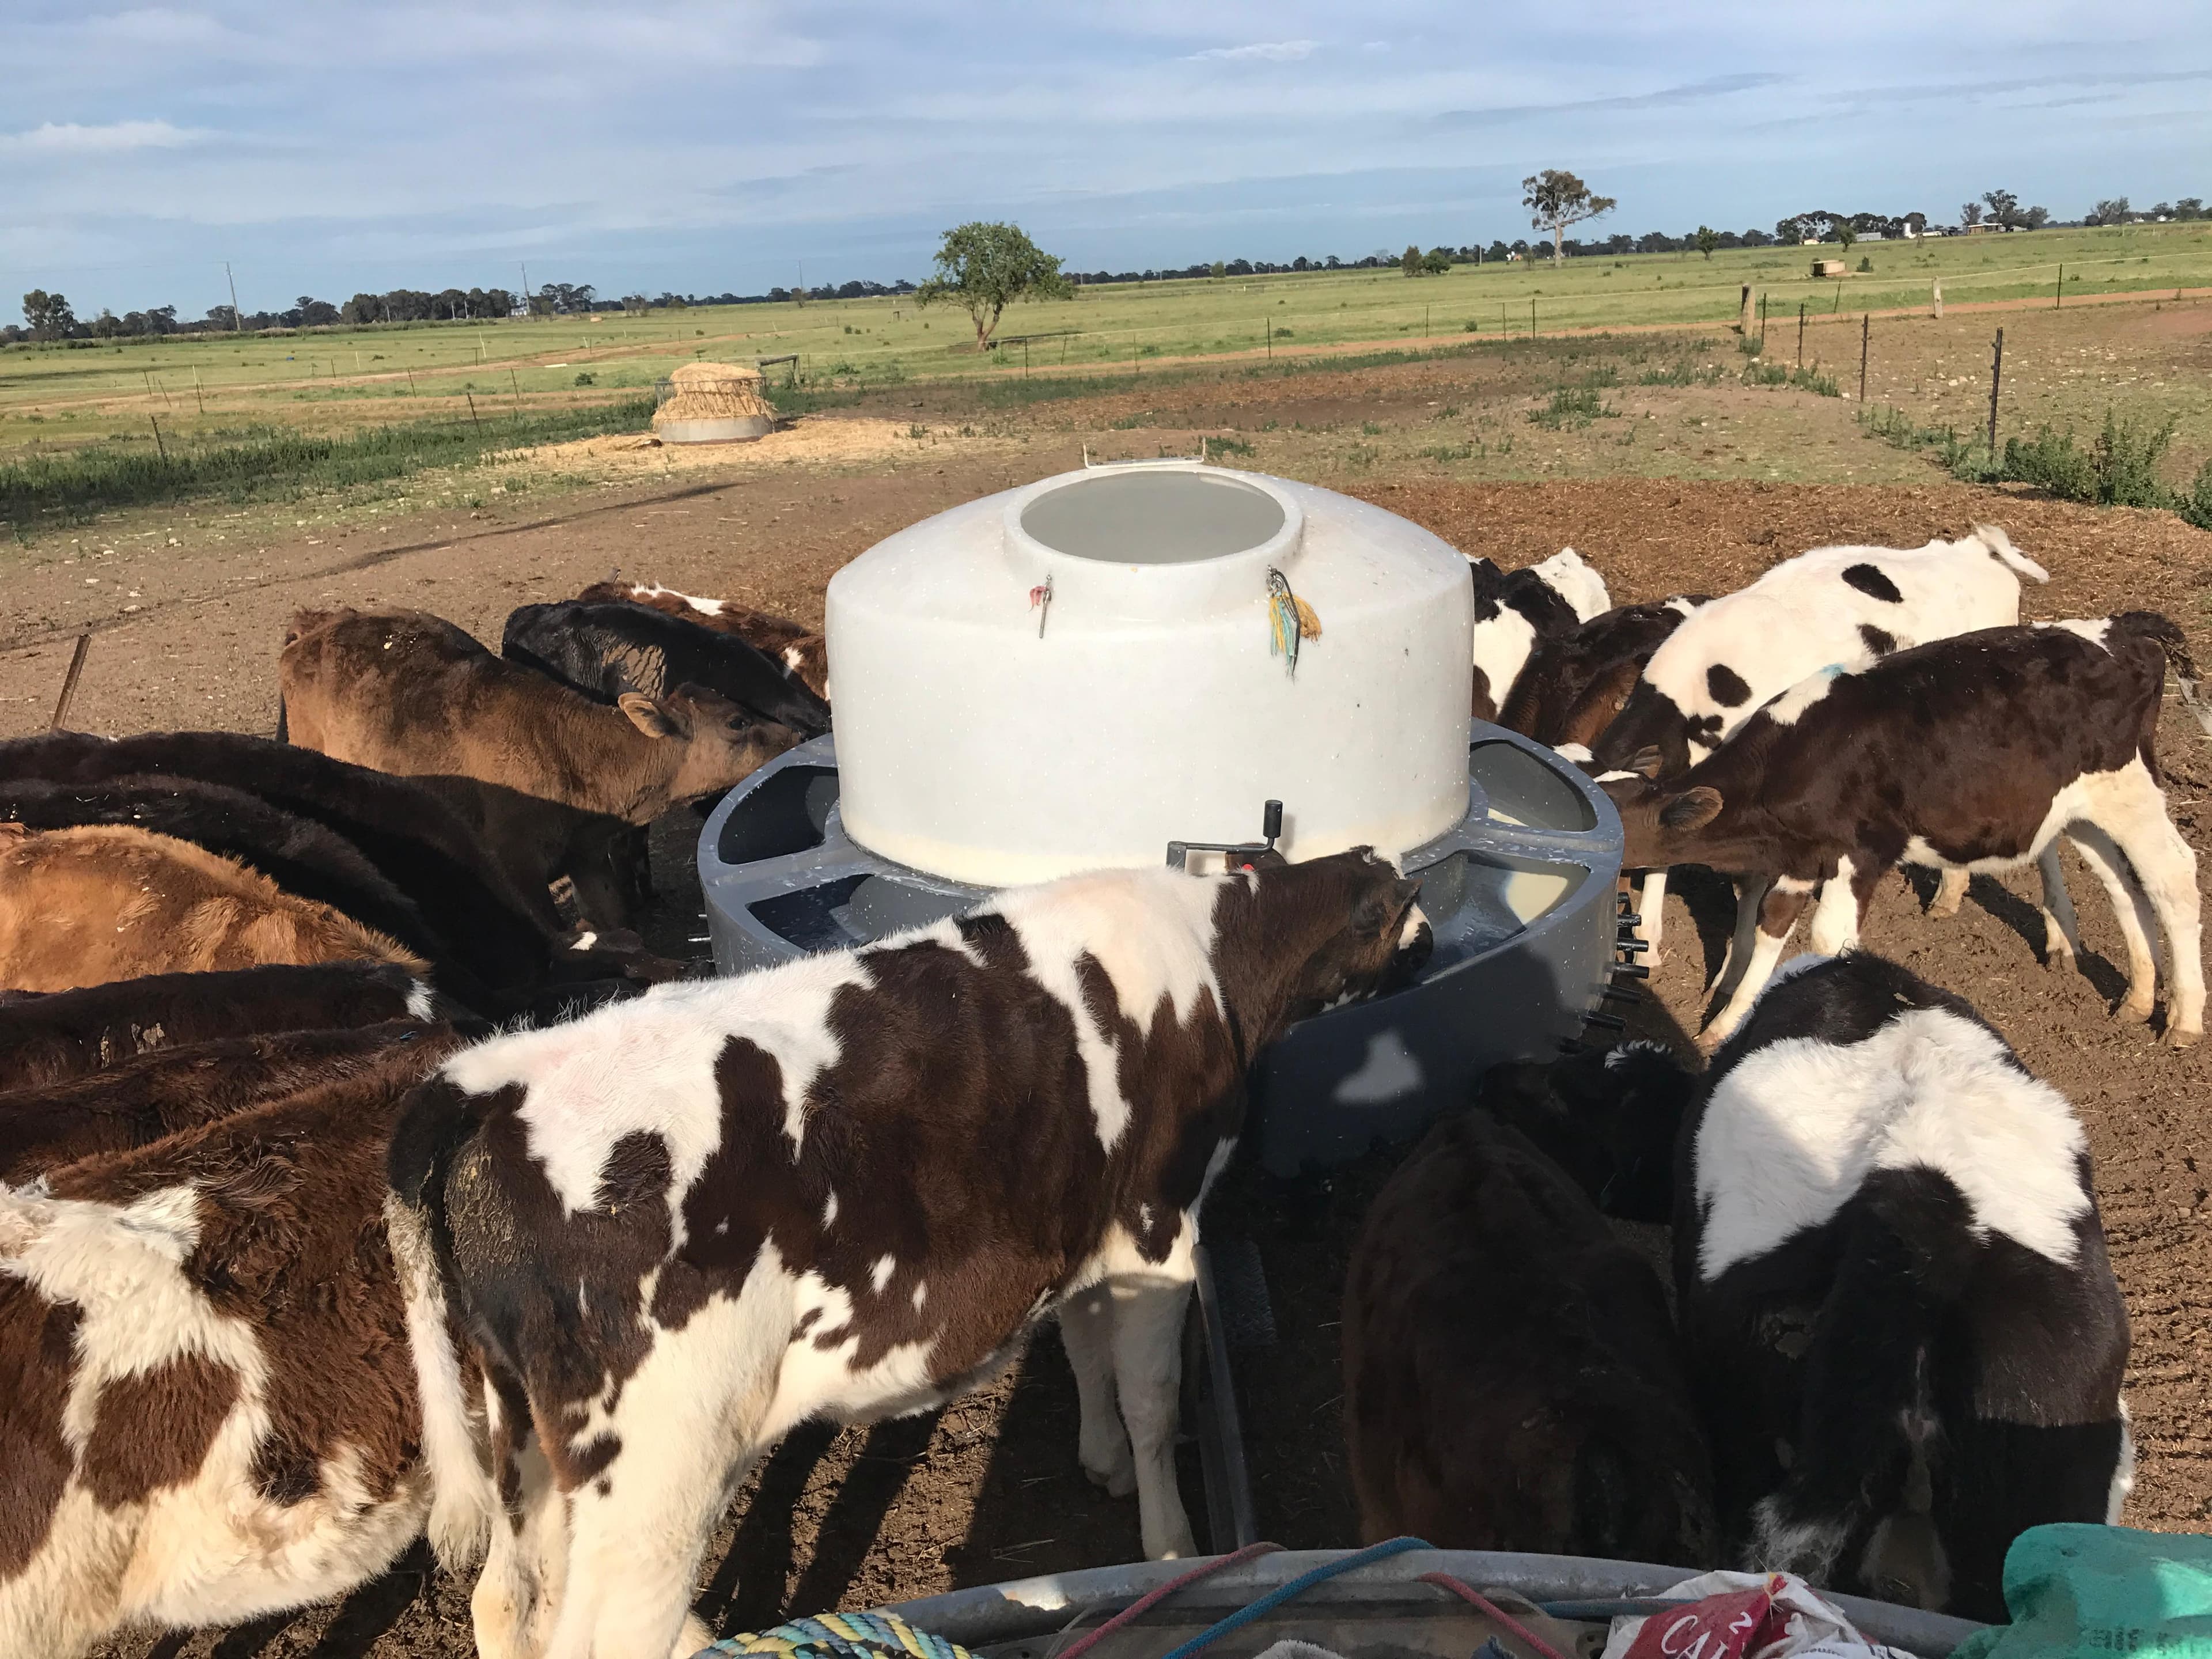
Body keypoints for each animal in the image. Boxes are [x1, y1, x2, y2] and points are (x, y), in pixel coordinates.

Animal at [278, 607, 803, 913]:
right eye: (737, 721)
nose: (793, 735)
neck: (566, 748)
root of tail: (315, 627)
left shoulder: (588, 856)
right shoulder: (520, 872)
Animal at [388, 852, 1430, 1658]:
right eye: (1408, 916)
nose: (1428, 956)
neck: (1206, 957)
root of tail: (481, 1080)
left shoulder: (1081, 1215)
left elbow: (1086, 1347)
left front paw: (1101, 1462)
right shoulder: (1157, 1218)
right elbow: (1151, 1394)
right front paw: (1171, 1549)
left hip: (526, 1427)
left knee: (508, 1600)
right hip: (658, 1457)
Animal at [1601, 616, 2205, 1049]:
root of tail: (2122, 627)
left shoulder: (1862, 852)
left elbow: (1829, 941)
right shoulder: (1802, 855)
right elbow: (1773, 927)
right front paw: (1727, 1023)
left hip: (2131, 793)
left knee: (2173, 878)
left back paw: (2185, 1018)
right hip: (2084, 812)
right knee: (2124, 885)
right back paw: (2139, 997)